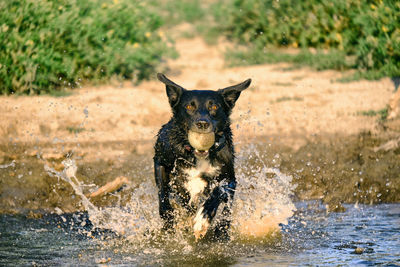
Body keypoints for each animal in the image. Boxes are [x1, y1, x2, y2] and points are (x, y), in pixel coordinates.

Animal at [153, 74, 250, 243]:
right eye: (189, 107)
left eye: (214, 107)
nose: (203, 124)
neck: (196, 154)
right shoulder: (160, 161)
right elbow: (162, 193)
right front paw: (168, 218)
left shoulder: (229, 178)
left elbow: (218, 192)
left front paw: (203, 220)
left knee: (227, 211)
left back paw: (221, 231)